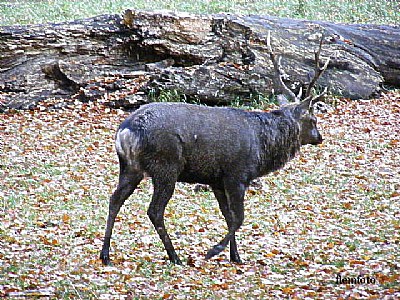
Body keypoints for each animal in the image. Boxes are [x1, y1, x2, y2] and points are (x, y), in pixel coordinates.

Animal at [100, 31, 332, 264]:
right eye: (313, 119)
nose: (319, 137)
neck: (262, 147)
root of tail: (126, 131)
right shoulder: (237, 175)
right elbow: (239, 218)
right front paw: (214, 251)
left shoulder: (216, 180)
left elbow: (228, 217)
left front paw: (235, 256)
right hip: (165, 166)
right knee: (154, 210)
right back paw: (175, 257)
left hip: (130, 167)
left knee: (114, 199)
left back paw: (105, 255)